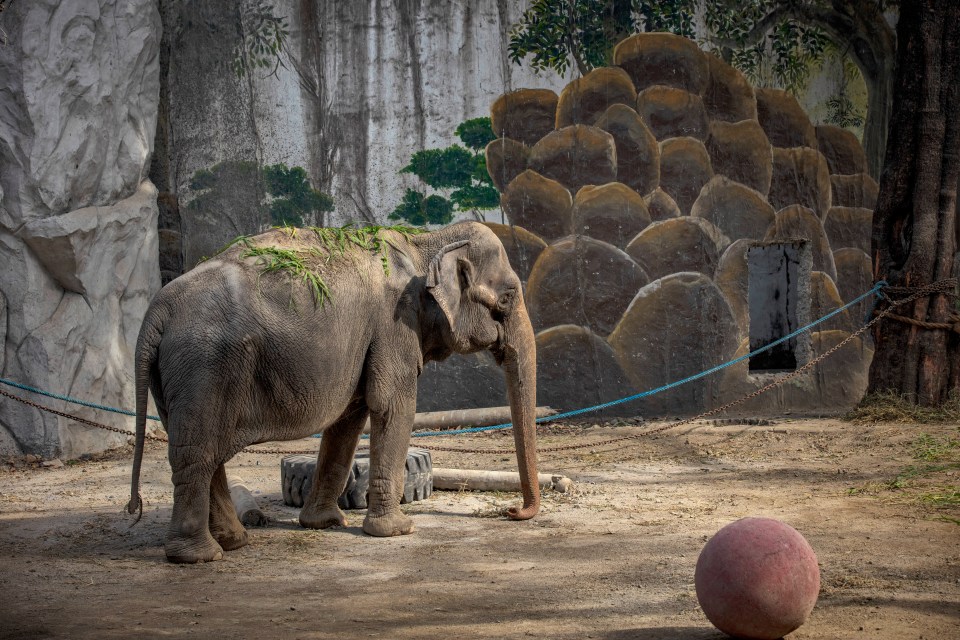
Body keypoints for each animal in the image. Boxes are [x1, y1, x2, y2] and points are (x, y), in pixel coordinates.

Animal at [127, 222, 540, 564]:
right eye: (507, 298)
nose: (512, 512)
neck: (426, 240)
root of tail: (157, 310)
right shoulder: (393, 324)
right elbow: (393, 407)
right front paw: (397, 531)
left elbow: (348, 420)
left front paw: (324, 523)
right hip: (203, 366)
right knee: (197, 455)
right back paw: (199, 556)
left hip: (178, 377)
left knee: (202, 450)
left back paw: (234, 542)